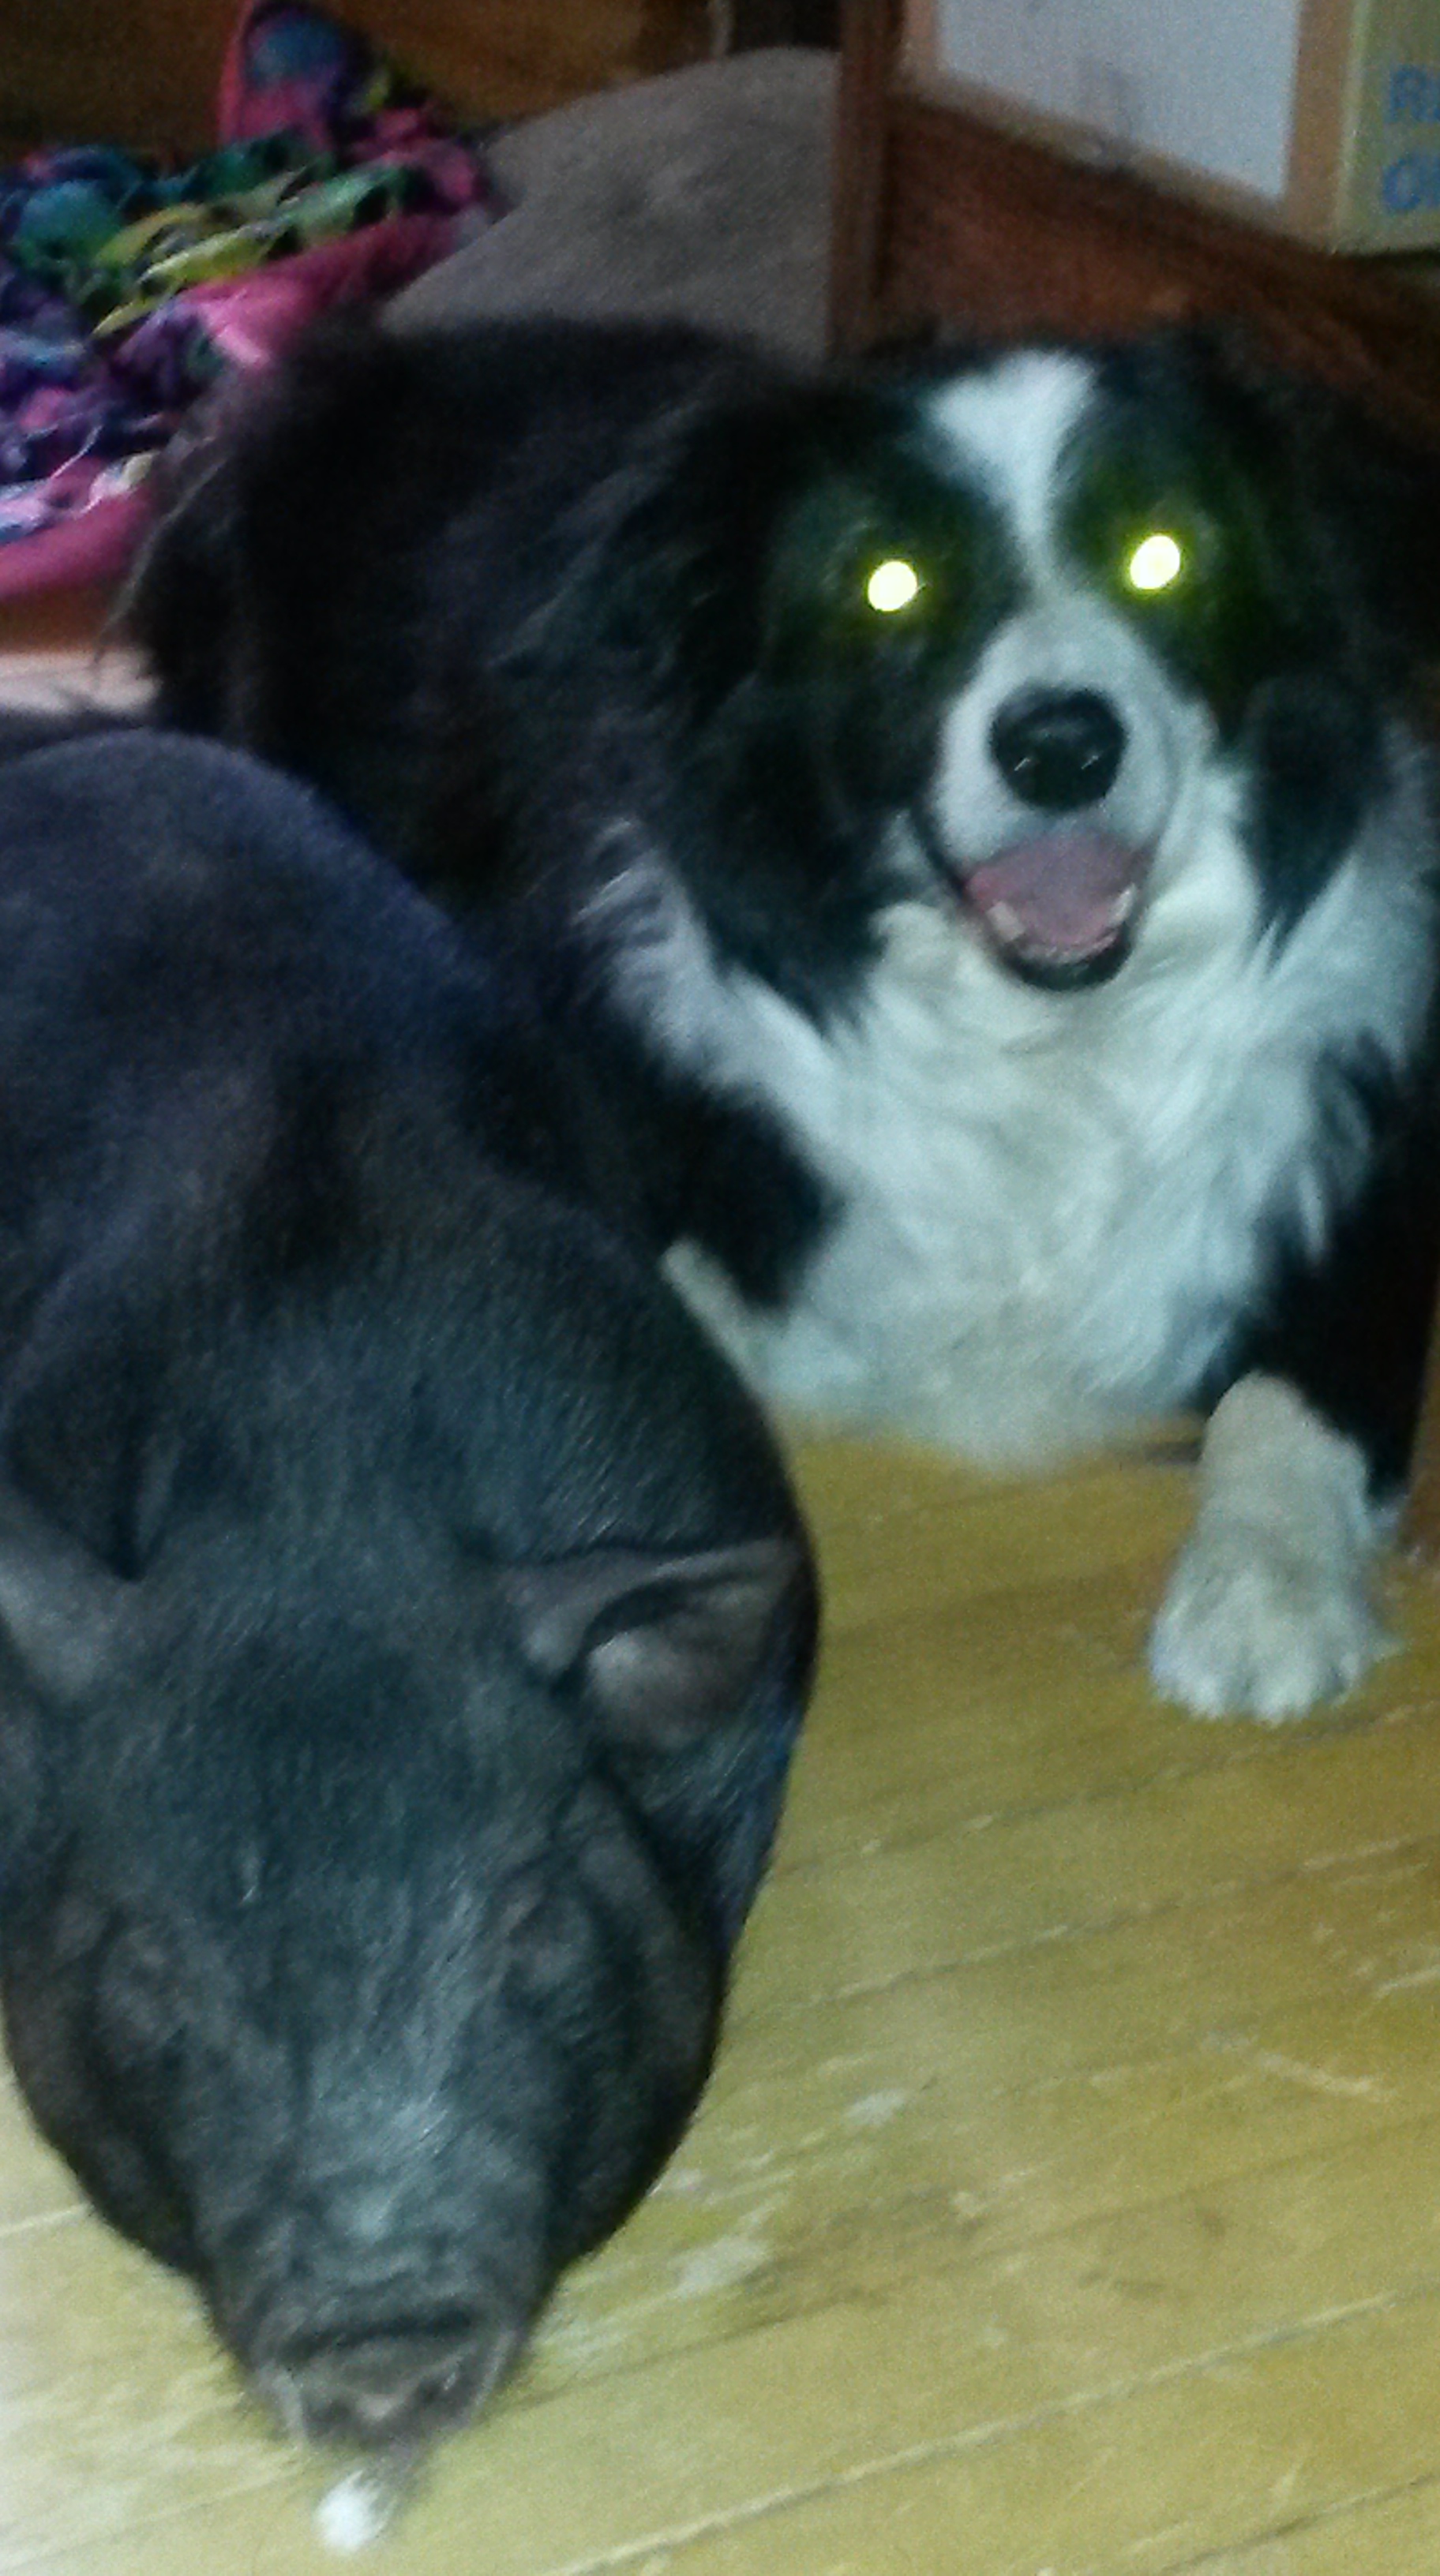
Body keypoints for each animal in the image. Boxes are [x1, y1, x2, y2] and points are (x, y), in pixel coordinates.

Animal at [130, 313, 1440, 1723]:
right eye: (889, 586)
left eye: (1166, 555)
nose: (1061, 748)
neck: (1039, 1039)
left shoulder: (1356, 1161)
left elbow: (1298, 1389)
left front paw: (1264, 1586)